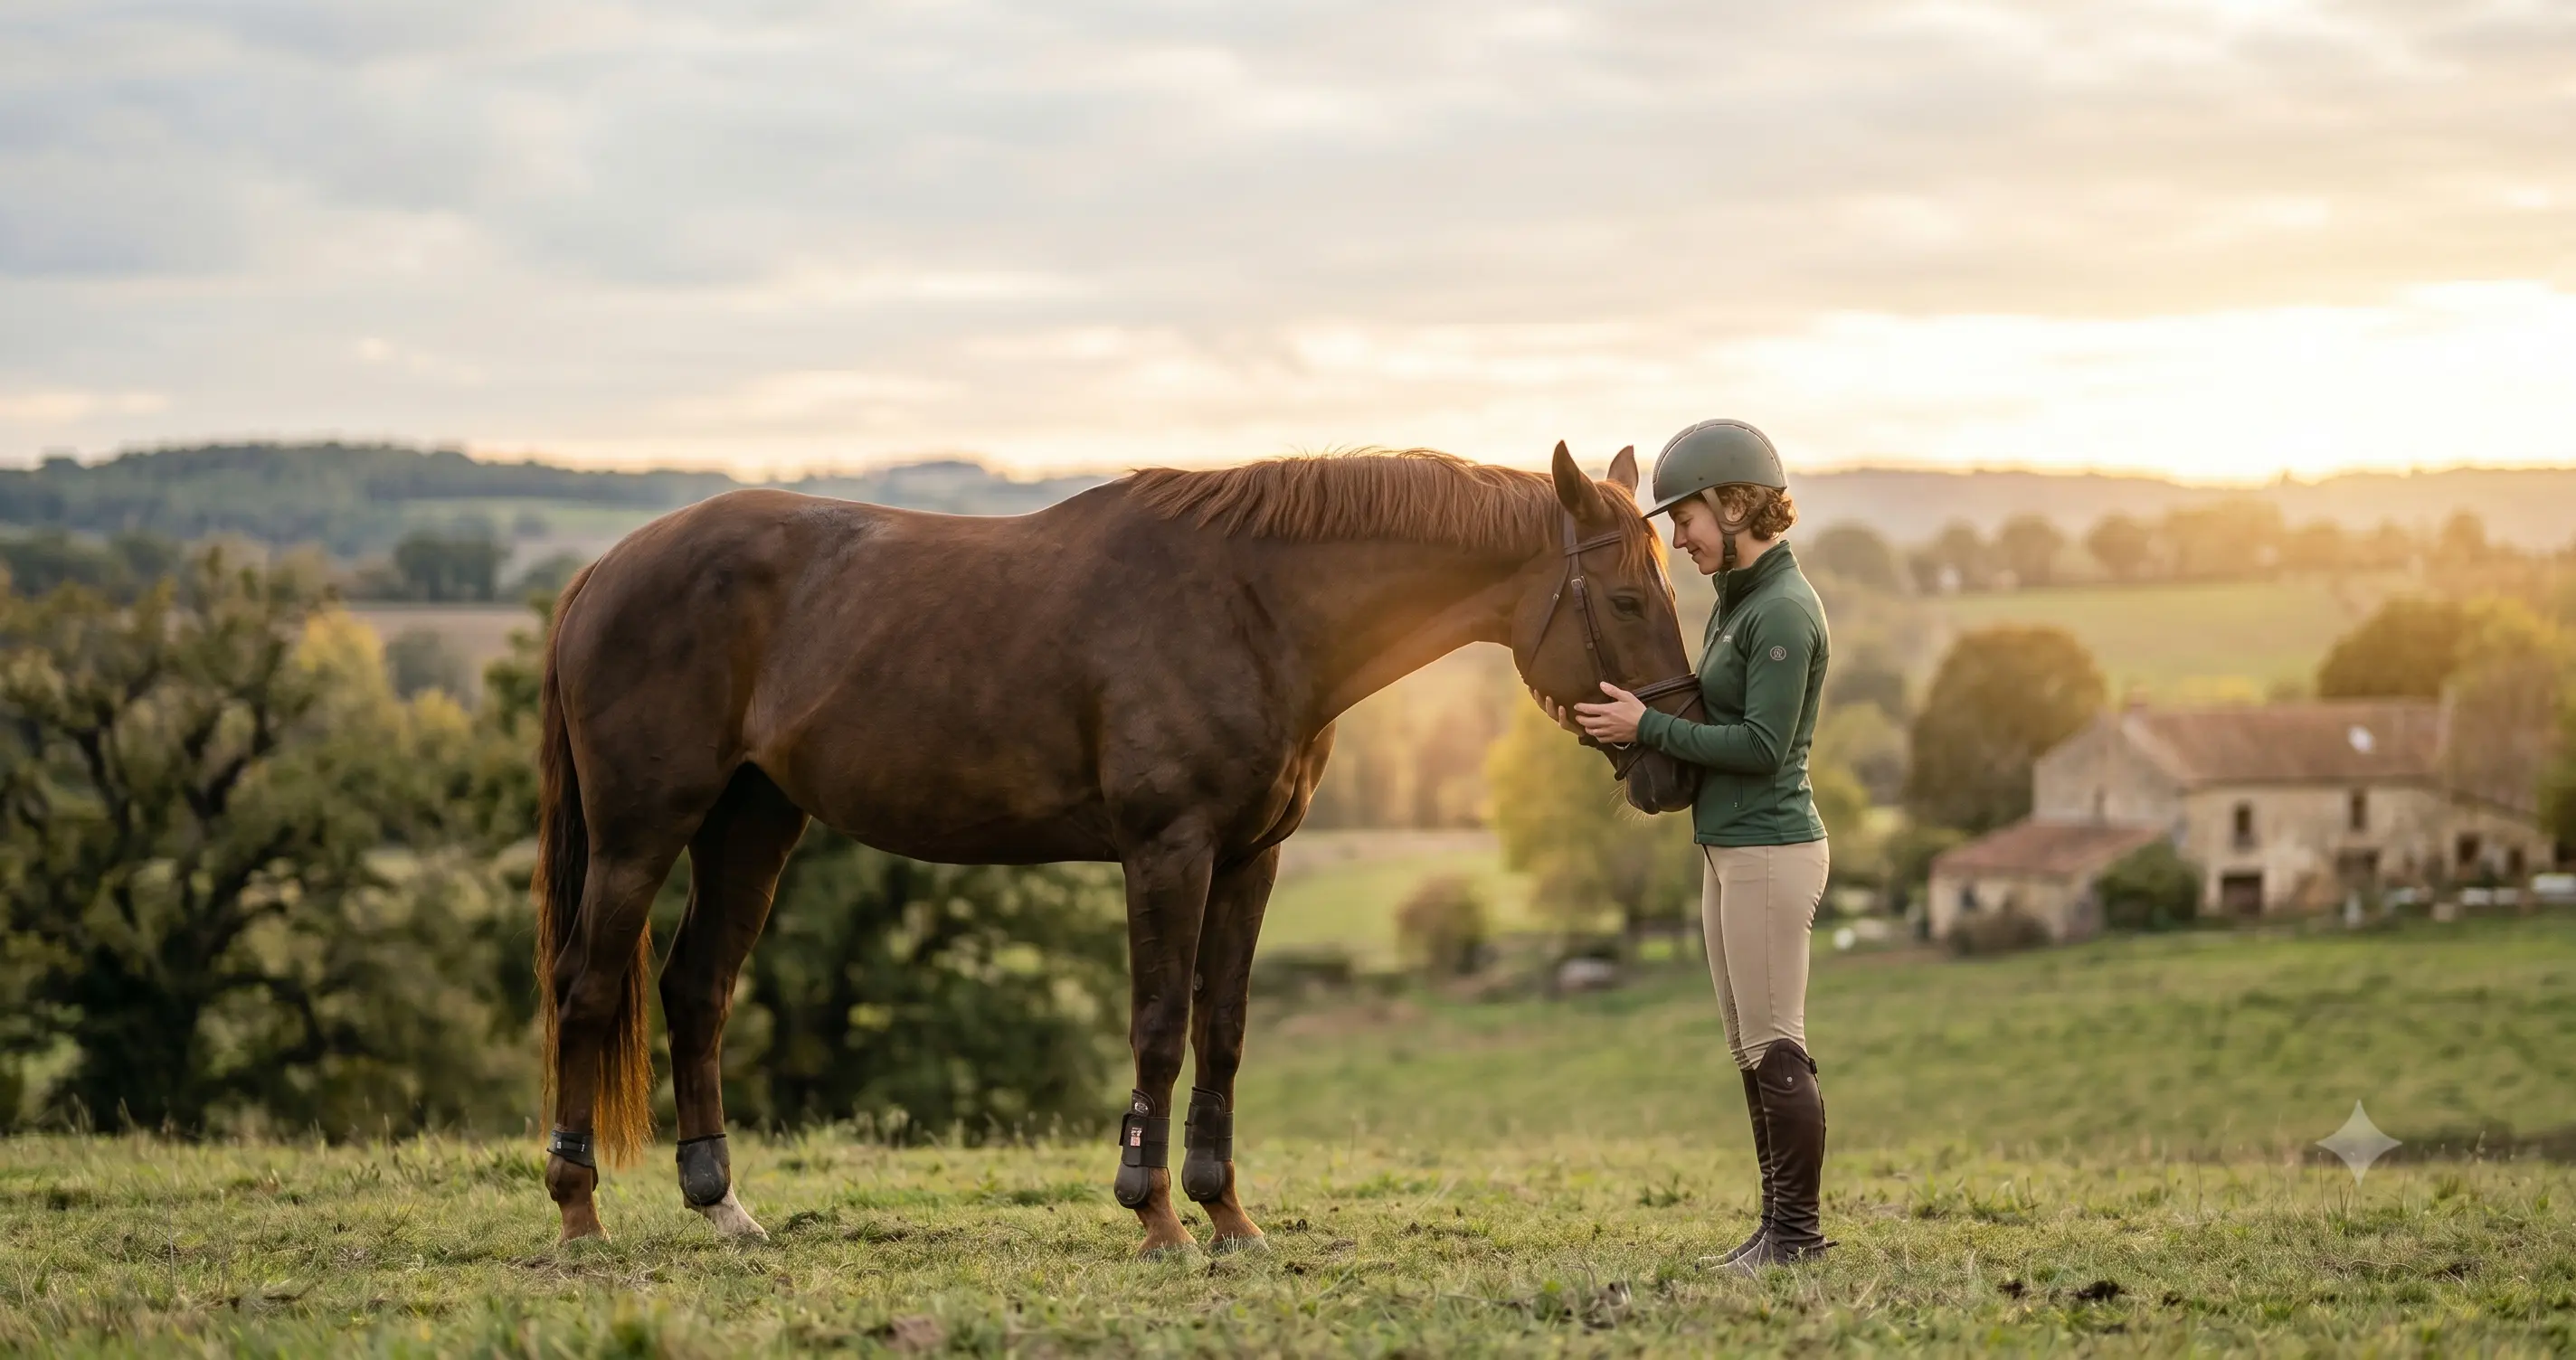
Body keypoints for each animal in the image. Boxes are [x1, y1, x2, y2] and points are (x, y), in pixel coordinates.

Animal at [531, 441, 1706, 1253]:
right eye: (1626, 596)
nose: (1675, 767)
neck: (1251, 607)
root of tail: (602, 570)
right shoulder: (1167, 852)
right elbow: (1155, 1030)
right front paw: (1156, 1219)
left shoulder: (1249, 858)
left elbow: (1221, 1029)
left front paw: (1227, 1215)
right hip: (642, 831)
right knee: (587, 990)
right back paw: (579, 1212)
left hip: (751, 822)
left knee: (697, 990)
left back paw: (722, 1204)